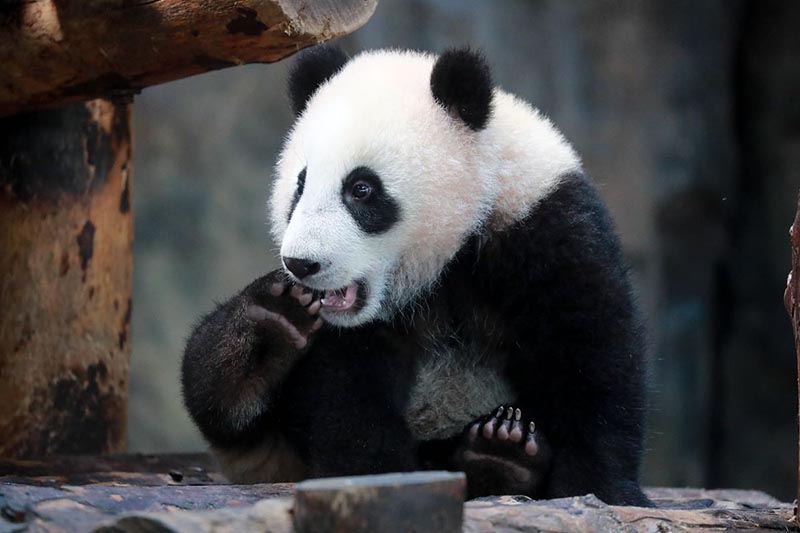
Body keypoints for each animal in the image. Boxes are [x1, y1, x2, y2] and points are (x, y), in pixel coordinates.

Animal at [184, 44, 652, 502]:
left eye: (361, 189)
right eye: (299, 186)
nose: (302, 264)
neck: (444, 259)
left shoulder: (542, 227)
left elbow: (590, 356)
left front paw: (596, 488)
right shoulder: (354, 332)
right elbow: (349, 391)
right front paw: (374, 475)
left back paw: (503, 453)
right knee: (213, 382)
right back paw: (269, 324)